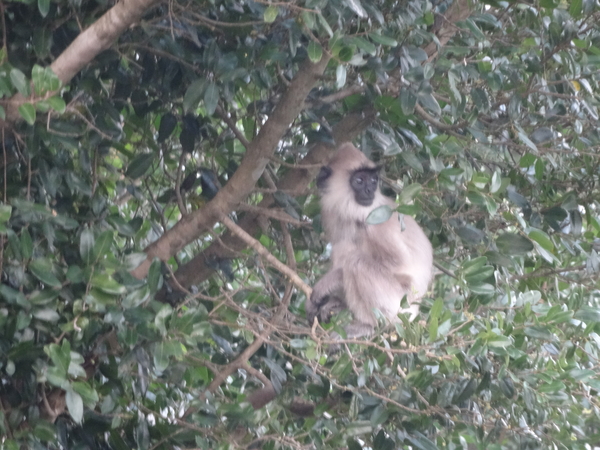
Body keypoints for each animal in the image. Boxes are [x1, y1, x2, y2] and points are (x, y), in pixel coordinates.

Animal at [308, 143, 434, 338]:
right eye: (359, 180)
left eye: (373, 181)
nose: (370, 190)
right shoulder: (332, 214)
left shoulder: (376, 220)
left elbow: (399, 264)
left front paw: (328, 283)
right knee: (343, 248)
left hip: (399, 305)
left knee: (355, 262)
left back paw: (368, 325)